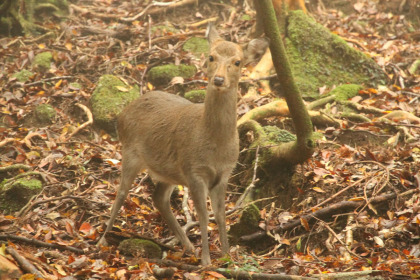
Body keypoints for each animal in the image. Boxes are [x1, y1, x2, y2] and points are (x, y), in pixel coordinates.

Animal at [97, 25, 270, 266]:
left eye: (237, 62)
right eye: (211, 57)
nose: (218, 79)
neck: (215, 144)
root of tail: (122, 114)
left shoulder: (224, 173)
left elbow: (220, 214)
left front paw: (227, 256)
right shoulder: (194, 170)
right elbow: (203, 215)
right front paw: (207, 261)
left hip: (167, 172)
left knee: (159, 198)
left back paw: (188, 246)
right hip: (130, 152)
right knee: (121, 192)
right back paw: (102, 240)